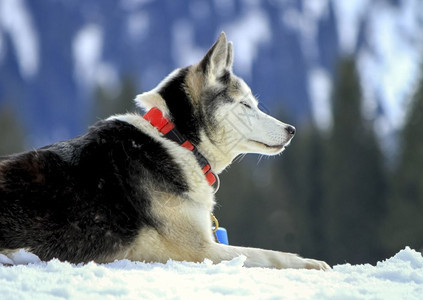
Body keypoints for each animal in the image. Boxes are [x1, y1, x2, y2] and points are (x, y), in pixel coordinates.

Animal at [0, 32, 332, 270]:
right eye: (245, 105)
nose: (292, 129)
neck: (177, 140)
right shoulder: (200, 249)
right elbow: (270, 255)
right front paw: (310, 263)